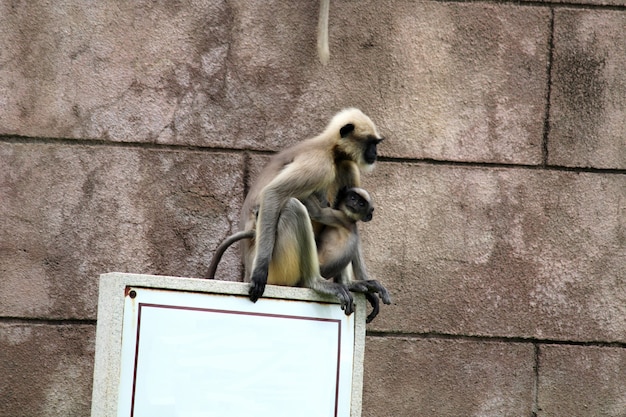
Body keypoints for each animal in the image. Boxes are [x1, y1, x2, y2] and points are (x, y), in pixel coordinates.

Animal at [240, 107, 382, 312]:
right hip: (279, 266)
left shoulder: (346, 166)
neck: (331, 150)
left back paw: (348, 284)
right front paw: (259, 273)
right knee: (293, 207)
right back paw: (315, 282)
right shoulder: (319, 164)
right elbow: (272, 193)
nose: (375, 153)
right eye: (371, 143)